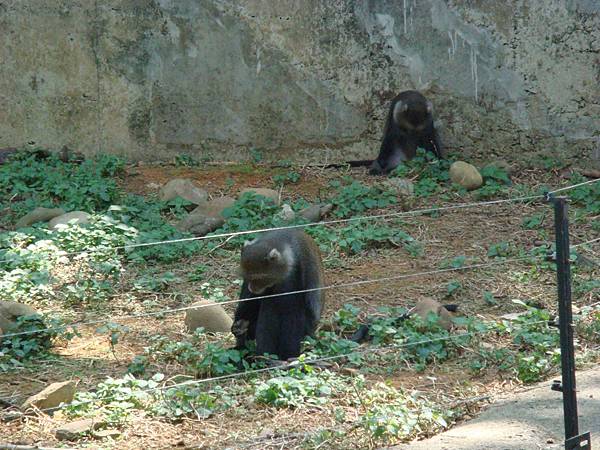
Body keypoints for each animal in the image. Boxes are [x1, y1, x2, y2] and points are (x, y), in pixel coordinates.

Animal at [231, 230, 324, 360]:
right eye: (248, 276)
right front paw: (238, 325)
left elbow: (292, 311)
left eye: (259, 278)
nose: (252, 287)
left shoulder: (292, 275)